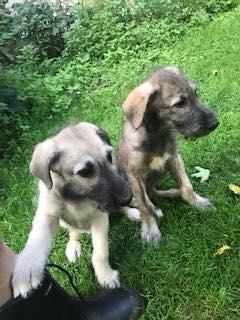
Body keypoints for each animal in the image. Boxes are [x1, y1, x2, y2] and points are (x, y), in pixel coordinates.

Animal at [116, 66, 219, 244]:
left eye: (195, 92)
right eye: (179, 104)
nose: (215, 123)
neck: (158, 134)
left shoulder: (174, 158)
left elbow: (186, 186)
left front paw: (198, 203)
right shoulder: (134, 174)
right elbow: (143, 204)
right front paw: (150, 230)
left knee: (153, 192)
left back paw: (172, 192)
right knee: (131, 202)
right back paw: (150, 209)